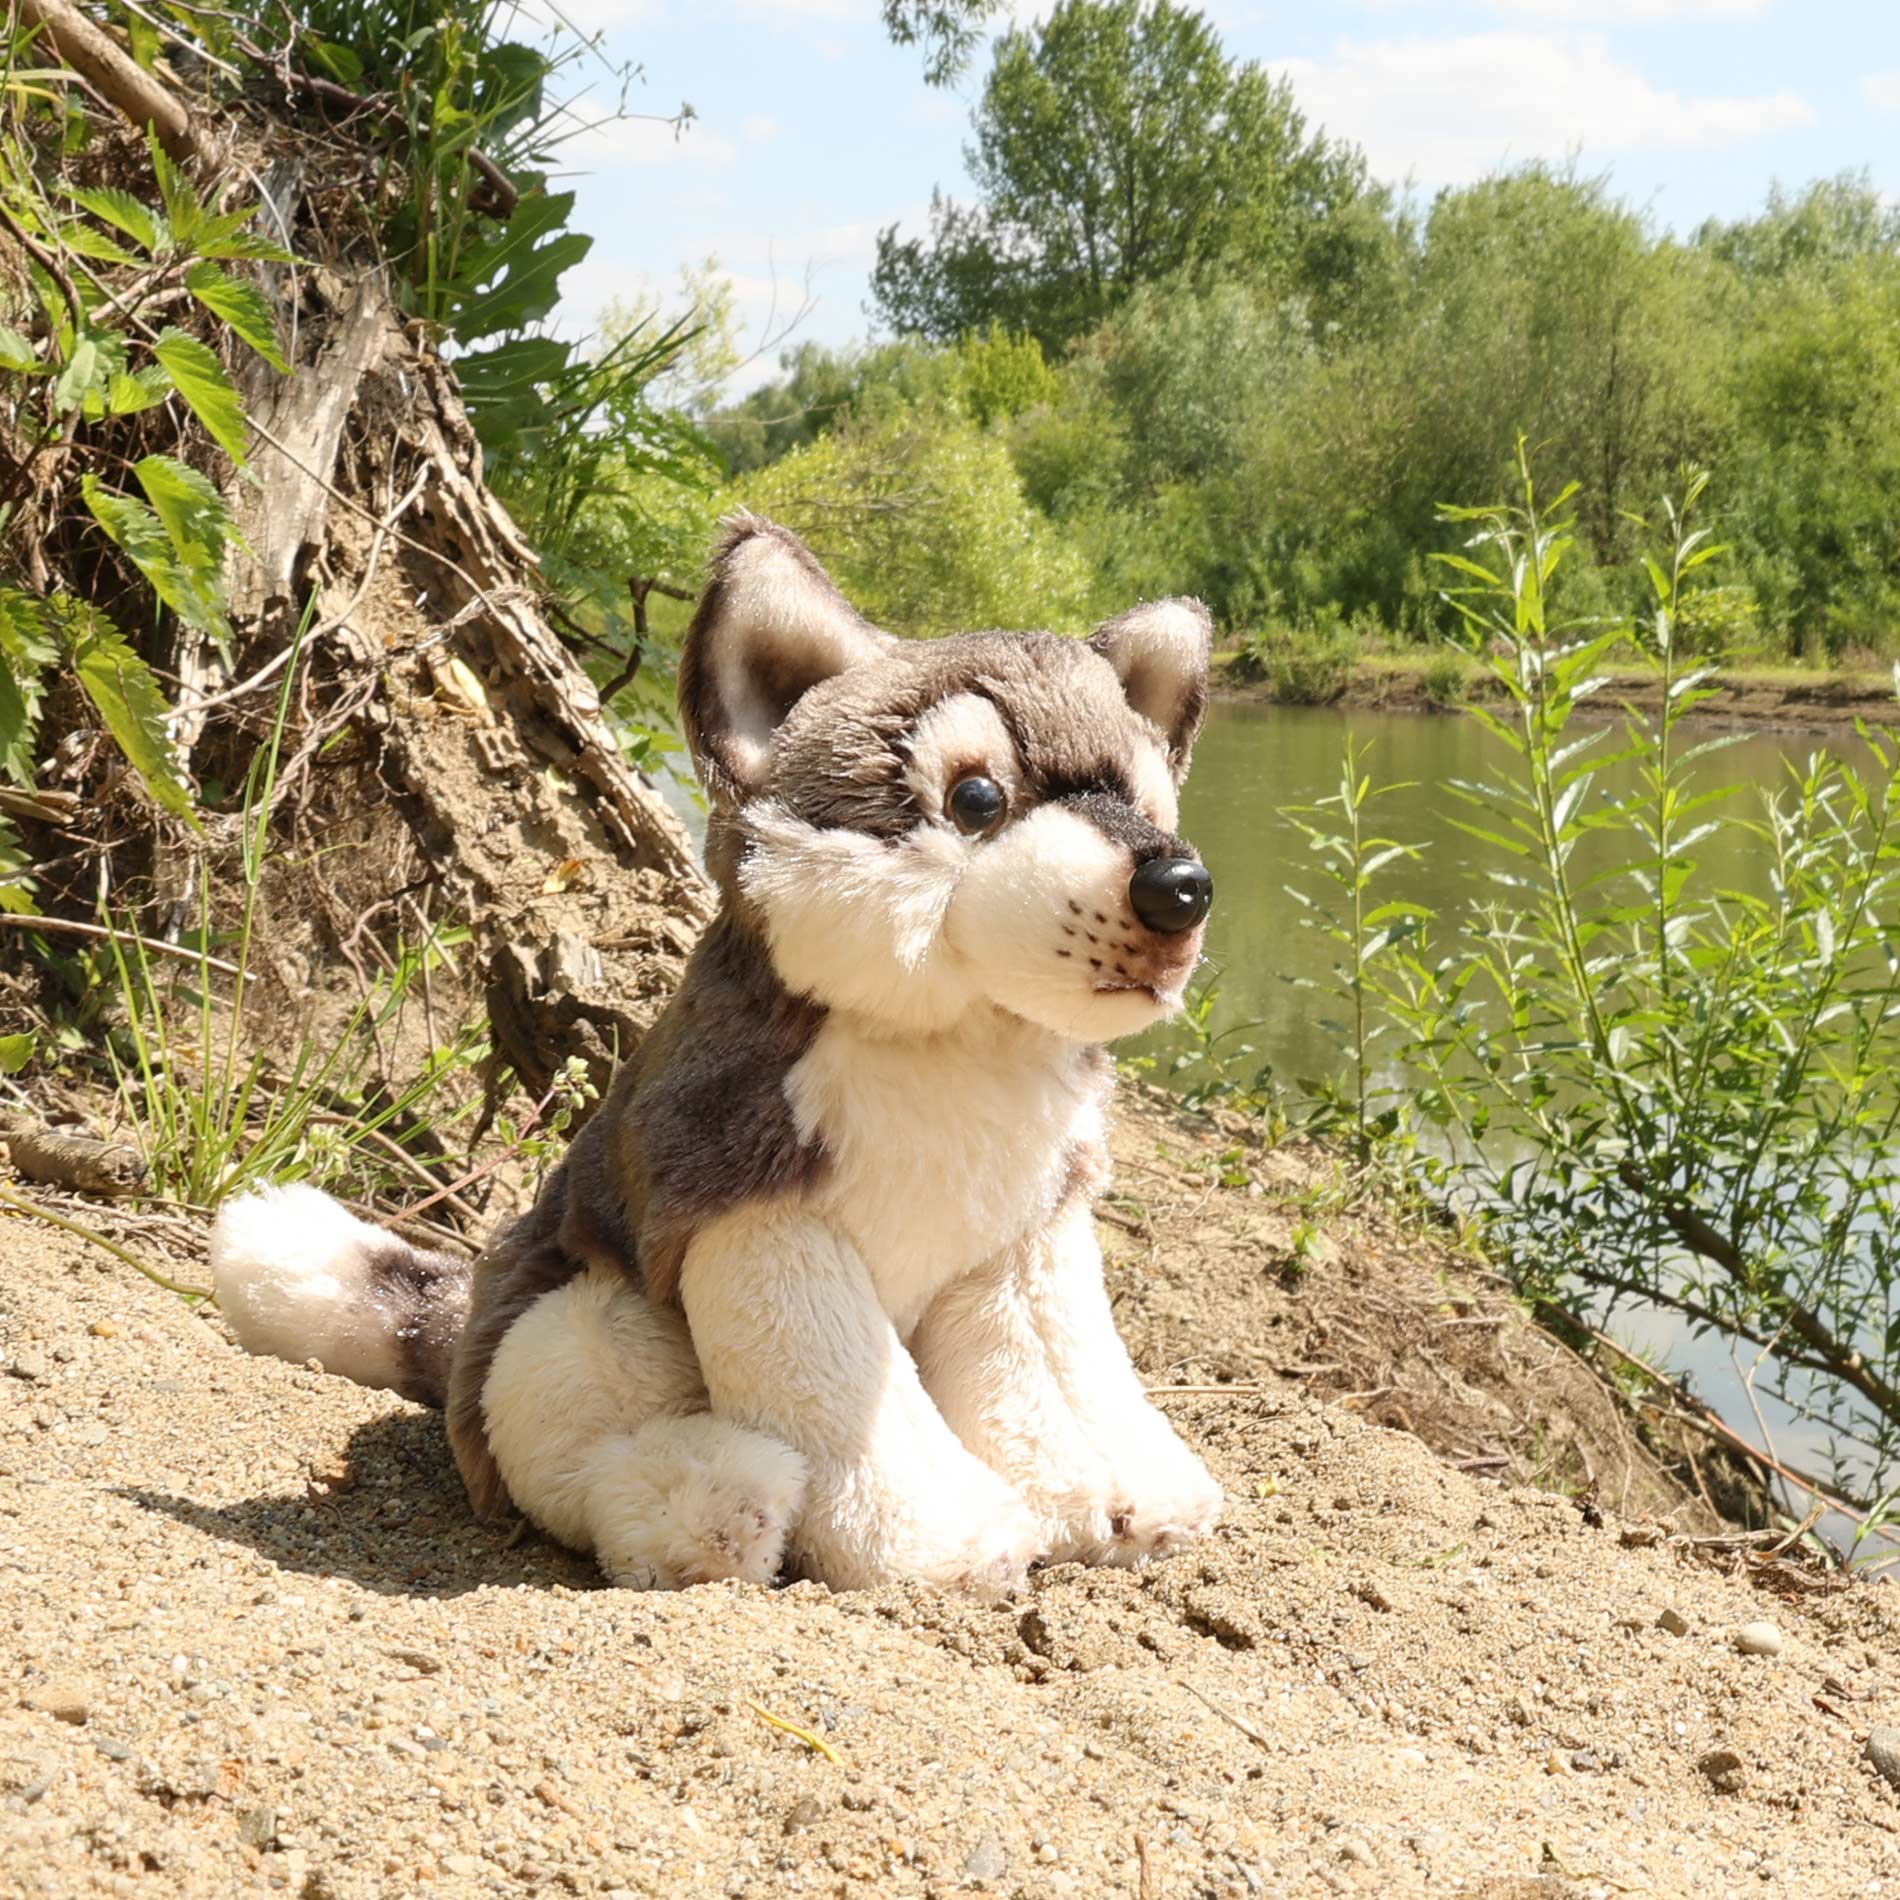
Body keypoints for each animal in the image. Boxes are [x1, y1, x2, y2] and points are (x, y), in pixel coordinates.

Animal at [211, 517, 1222, 1595]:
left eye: (1142, 802)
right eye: (977, 798)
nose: (1177, 885)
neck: (954, 1043)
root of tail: (456, 1331)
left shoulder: (1025, 1234)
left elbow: (1052, 1370)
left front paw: (1125, 1496)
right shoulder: (753, 1202)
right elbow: (841, 1386)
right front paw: (943, 1541)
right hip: (583, 1321)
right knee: (571, 1443)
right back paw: (705, 1503)